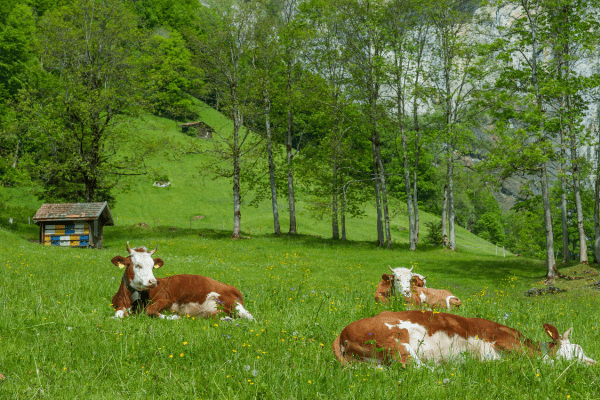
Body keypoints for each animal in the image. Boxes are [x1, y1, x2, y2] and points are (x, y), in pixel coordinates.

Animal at [110, 242, 253, 320]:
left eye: (152, 266)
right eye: (137, 265)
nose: (153, 282)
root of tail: (231, 287)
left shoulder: (165, 299)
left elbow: (150, 311)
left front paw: (174, 317)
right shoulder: (117, 304)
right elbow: (118, 314)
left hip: (233, 303)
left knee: (249, 317)